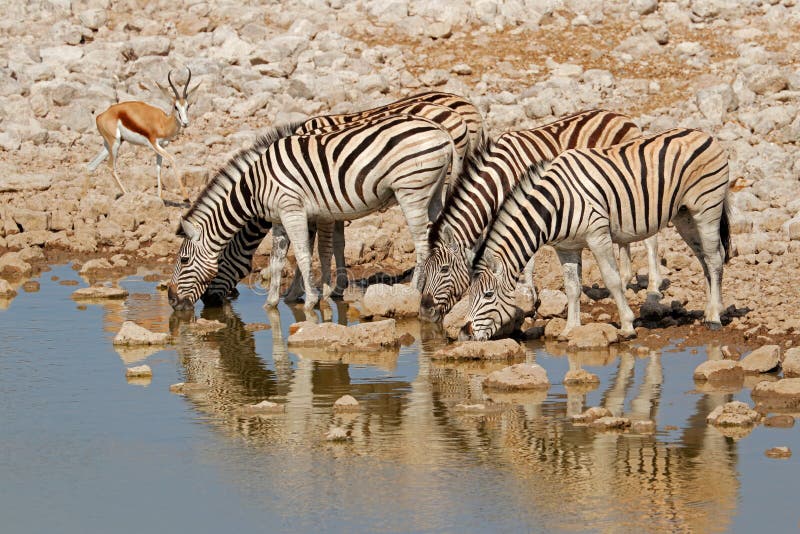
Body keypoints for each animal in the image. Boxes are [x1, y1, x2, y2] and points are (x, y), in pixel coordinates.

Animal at [203, 93, 484, 306]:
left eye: (219, 263)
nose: (208, 301)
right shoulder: (333, 206)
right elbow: (335, 244)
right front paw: (334, 288)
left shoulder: (314, 209)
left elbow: (314, 249)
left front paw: (308, 292)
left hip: (414, 186)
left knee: (425, 238)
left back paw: (414, 288)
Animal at [416, 108, 652, 322]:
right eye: (425, 269)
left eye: (444, 269)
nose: (425, 311)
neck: (500, 178)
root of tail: (619, 115)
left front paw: (528, 294)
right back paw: (625, 281)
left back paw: (653, 287)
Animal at [456, 127, 732, 342]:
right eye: (468, 295)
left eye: (488, 295)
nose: (464, 334)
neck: (555, 205)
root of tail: (704, 134)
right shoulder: (566, 247)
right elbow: (572, 288)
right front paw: (570, 329)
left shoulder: (598, 236)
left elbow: (612, 280)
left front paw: (627, 325)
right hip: (684, 216)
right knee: (705, 261)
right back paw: (710, 310)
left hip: (707, 208)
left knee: (715, 259)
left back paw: (715, 318)